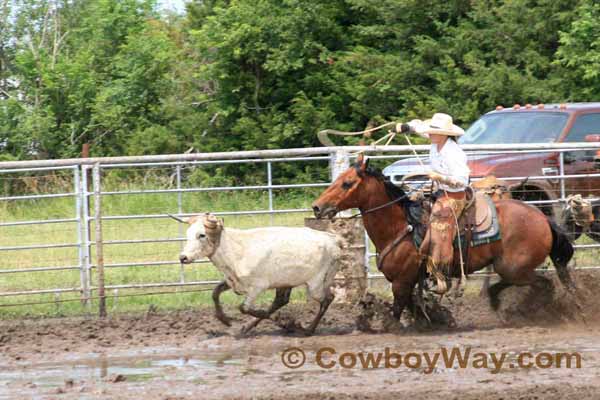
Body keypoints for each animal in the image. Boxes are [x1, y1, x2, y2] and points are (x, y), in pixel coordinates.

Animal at [312, 153, 576, 322]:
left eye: (347, 183)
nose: (317, 207)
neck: (401, 225)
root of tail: (543, 218)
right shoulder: (408, 283)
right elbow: (414, 309)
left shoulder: (401, 282)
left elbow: (395, 314)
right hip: (510, 268)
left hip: (513, 267)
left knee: (543, 284)